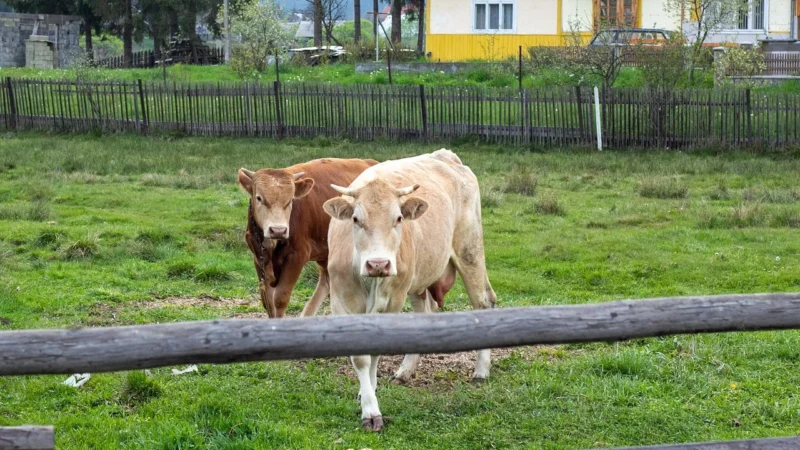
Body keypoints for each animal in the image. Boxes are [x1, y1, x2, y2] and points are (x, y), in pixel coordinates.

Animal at [239, 158, 377, 318]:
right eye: (259, 198)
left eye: (290, 200)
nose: (278, 230)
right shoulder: (258, 258)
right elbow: (268, 300)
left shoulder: (297, 255)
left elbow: (280, 298)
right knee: (326, 280)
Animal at [323, 149, 497, 431]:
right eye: (356, 219)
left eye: (398, 218)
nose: (378, 264)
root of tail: (446, 156)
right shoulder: (341, 302)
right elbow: (360, 358)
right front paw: (367, 398)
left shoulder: (393, 301)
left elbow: (375, 352)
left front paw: (371, 406)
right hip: (419, 280)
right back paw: (405, 371)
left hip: (469, 252)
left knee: (483, 302)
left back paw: (481, 371)